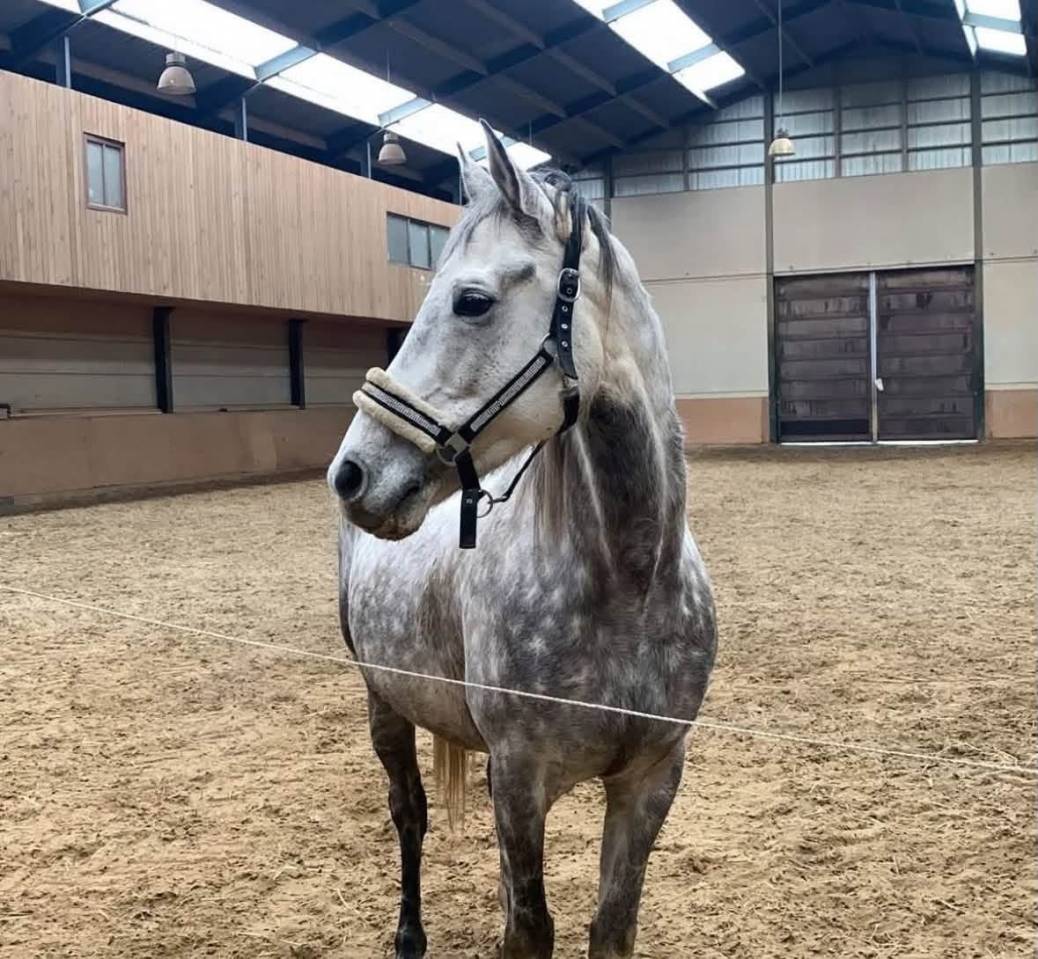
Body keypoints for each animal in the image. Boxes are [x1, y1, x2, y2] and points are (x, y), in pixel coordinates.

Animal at [327, 122, 716, 959]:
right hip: (383, 698)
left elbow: (610, 924)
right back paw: (409, 934)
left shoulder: (649, 778)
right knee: (408, 812)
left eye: (472, 301)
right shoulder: (519, 775)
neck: (628, 586)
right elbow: (529, 929)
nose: (352, 473)